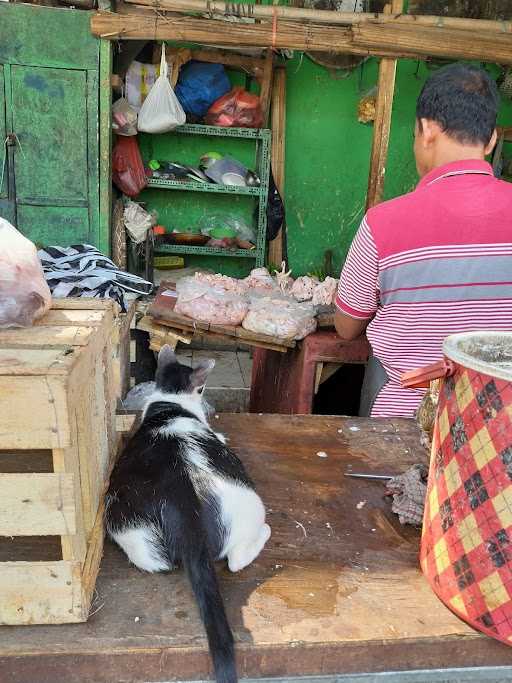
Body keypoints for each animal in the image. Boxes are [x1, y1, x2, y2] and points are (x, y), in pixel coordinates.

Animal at [105, 348, 272, 683]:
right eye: (203, 388)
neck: (170, 401)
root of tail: (182, 499)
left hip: (128, 527)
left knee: (158, 563)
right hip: (251, 503)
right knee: (236, 560)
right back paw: (265, 532)